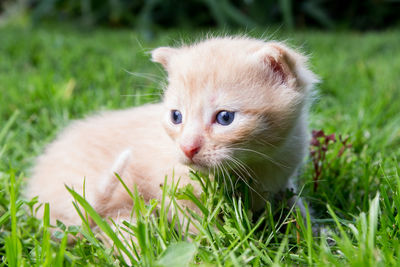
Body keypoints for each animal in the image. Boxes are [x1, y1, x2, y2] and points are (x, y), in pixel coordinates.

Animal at [25, 36, 318, 237]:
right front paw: (212, 248)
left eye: (225, 118)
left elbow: (297, 207)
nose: (187, 148)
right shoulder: (173, 191)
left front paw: (317, 238)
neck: (252, 165)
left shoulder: (284, 177)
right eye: (176, 116)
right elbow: (197, 229)